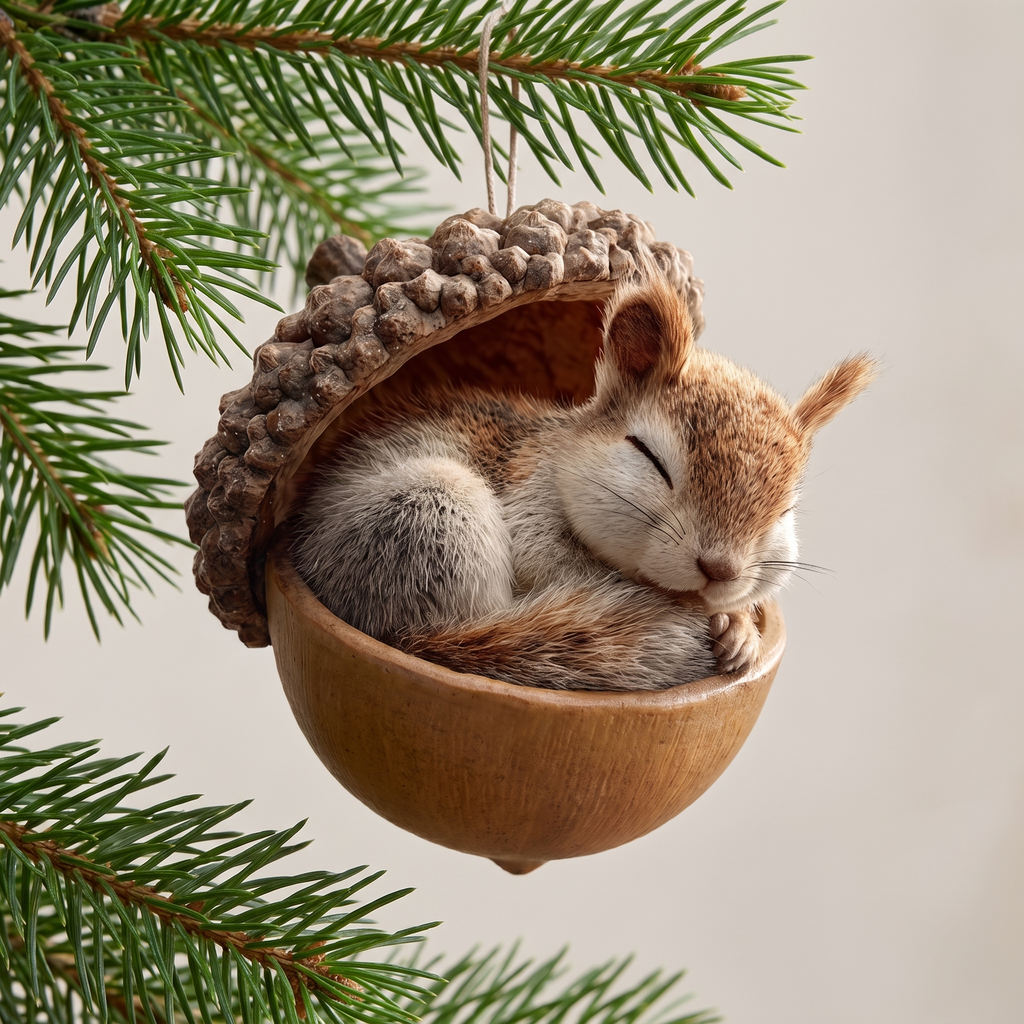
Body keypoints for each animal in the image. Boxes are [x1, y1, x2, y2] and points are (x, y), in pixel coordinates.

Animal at [291, 271, 876, 690]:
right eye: (649, 457)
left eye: (786, 510)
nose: (720, 570)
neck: (561, 451)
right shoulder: (530, 501)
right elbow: (553, 563)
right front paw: (718, 619)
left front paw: (740, 631)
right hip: (430, 513)